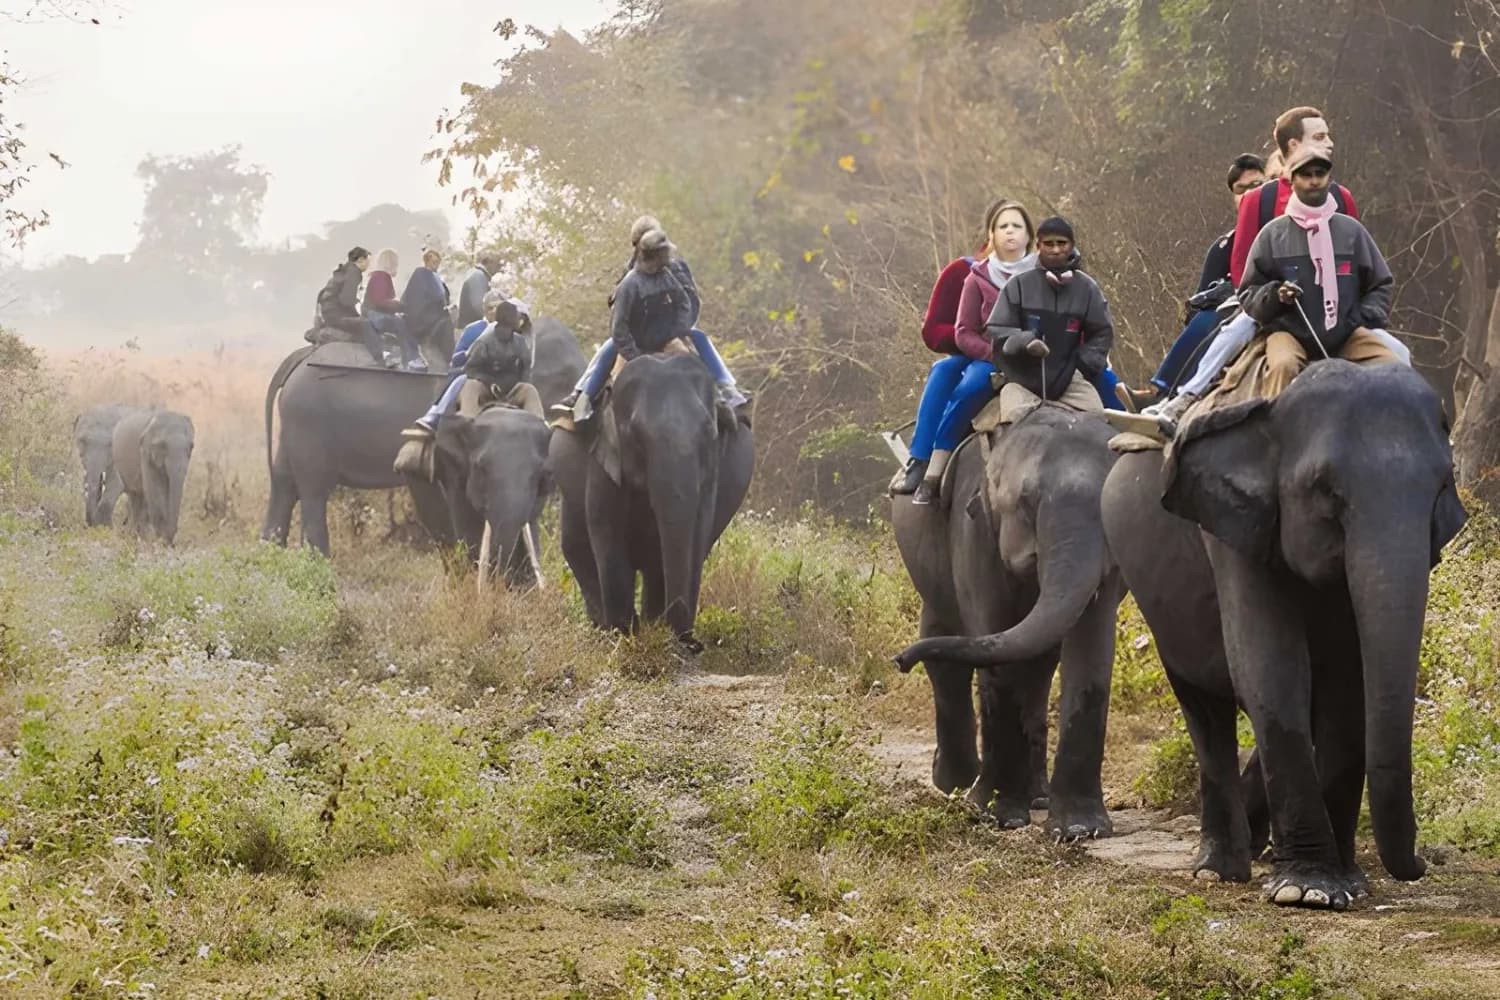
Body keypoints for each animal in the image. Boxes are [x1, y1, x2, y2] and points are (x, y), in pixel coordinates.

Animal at [111, 409, 194, 544]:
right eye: (163, 445)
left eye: (191, 446)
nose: (171, 543)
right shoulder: (145, 453)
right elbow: (156, 490)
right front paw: (160, 537)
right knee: (135, 496)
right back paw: (136, 535)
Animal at [263, 318, 583, 556]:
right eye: (564, 379)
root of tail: (300, 357)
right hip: (309, 421)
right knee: (313, 489)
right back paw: (319, 561)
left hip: (296, 422)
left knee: (283, 481)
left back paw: (272, 552)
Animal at [550, 353, 754, 648]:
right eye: (635, 434)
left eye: (710, 430)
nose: (694, 644)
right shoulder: (603, 458)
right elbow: (606, 533)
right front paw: (625, 636)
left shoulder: (714, 467)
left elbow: (698, 531)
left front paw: (657, 634)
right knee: (576, 546)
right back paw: (604, 630)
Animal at [890, 403, 1125, 839]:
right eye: (1027, 503)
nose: (899, 660)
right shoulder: (973, 525)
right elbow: (995, 639)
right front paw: (998, 816)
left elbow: (1090, 652)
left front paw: (1079, 829)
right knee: (946, 648)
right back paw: (958, 784)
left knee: (1039, 665)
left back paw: (1038, 797)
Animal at [1160, 360, 1466, 910]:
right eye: (1326, 491)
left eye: (1442, 488)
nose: (1423, 863)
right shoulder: (1231, 531)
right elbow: (1271, 667)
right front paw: (1306, 891)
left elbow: (1347, 679)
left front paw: (1346, 884)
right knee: (1205, 710)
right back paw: (1218, 870)